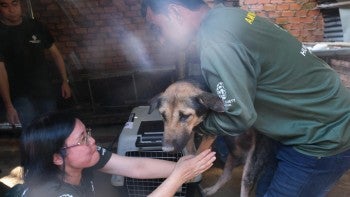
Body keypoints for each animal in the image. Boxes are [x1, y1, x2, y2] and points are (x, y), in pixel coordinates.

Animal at [148, 79, 276, 196]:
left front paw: (192, 172)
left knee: (246, 182)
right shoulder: (189, 135)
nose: (166, 150)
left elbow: (198, 153)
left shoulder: (210, 132)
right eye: (163, 115)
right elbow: (191, 153)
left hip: (252, 163)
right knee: (226, 175)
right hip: (234, 151)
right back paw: (211, 190)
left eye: (185, 116)